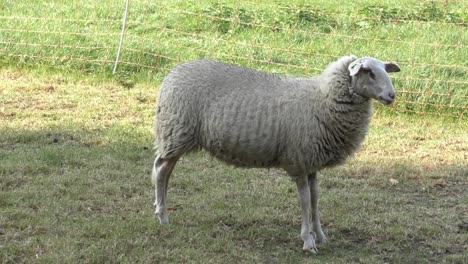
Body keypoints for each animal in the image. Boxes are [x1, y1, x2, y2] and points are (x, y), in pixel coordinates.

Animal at [152, 54, 400, 254]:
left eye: (384, 70)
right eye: (368, 72)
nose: (392, 95)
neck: (322, 98)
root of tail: (172, 74)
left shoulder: (312, 164)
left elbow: (316, 200)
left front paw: (320, 235)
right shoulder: (299, 161)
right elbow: (305, 201)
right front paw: (308, 241)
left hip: (175, 136)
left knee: (163, 170)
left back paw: (159, 208)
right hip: (177, 131)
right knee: (161, 170)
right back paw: (163, 216)